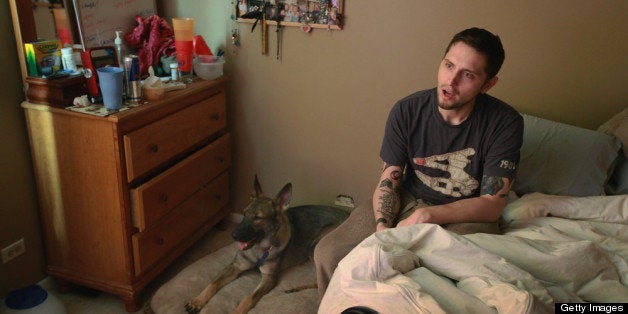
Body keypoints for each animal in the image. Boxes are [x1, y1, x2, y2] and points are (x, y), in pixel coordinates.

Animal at [184, 177, 348, 314]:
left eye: (258, 218)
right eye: (244, 213)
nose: (233, 235)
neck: (259, 249)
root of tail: (348, 214)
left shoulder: (269, 278)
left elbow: (248, 298)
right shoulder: (235, 267)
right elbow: (213, 283)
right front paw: (197, 301)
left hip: (316, 246)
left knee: (322, 282)